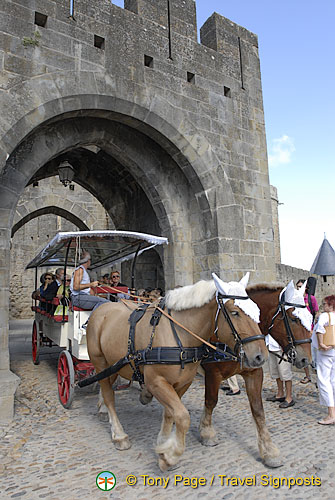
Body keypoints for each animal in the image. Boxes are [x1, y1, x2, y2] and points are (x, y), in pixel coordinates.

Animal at [86, 274, 268, 472]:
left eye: (258, 310)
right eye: (235, 312)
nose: (260, 356)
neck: (181, 335)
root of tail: (102, 307)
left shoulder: (182, 383)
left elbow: (170, 413)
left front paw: (163, 444)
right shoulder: (157, 382)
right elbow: (182, 416)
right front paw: (170, 455)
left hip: (114, 364)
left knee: (107, 385)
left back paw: (103, 409)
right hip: (99, 362)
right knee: (109, 395)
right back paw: (119, 434)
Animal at [200, 280, 312, 466]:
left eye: (311, 319)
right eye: (294, 319)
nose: (306, 360)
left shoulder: (254, 373)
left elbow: (258, 410)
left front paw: (269, 451)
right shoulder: (212, 373)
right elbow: (210, 401)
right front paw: (206, 433)